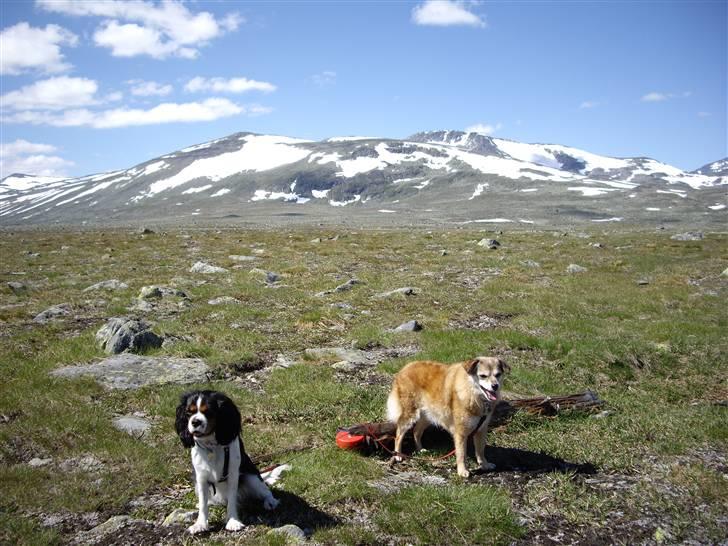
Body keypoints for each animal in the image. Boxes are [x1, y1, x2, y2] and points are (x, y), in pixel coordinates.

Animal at [175, 388, 280, 532]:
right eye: (188, 413)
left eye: (208, 412)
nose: (195, 422)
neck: (211, 446)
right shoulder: (200, 478)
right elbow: (203, 504)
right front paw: (200, 524)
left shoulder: (233, 474)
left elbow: (232, 499)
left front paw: (232, 521)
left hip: (251, 477)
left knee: (266, 491)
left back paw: (270, 502)